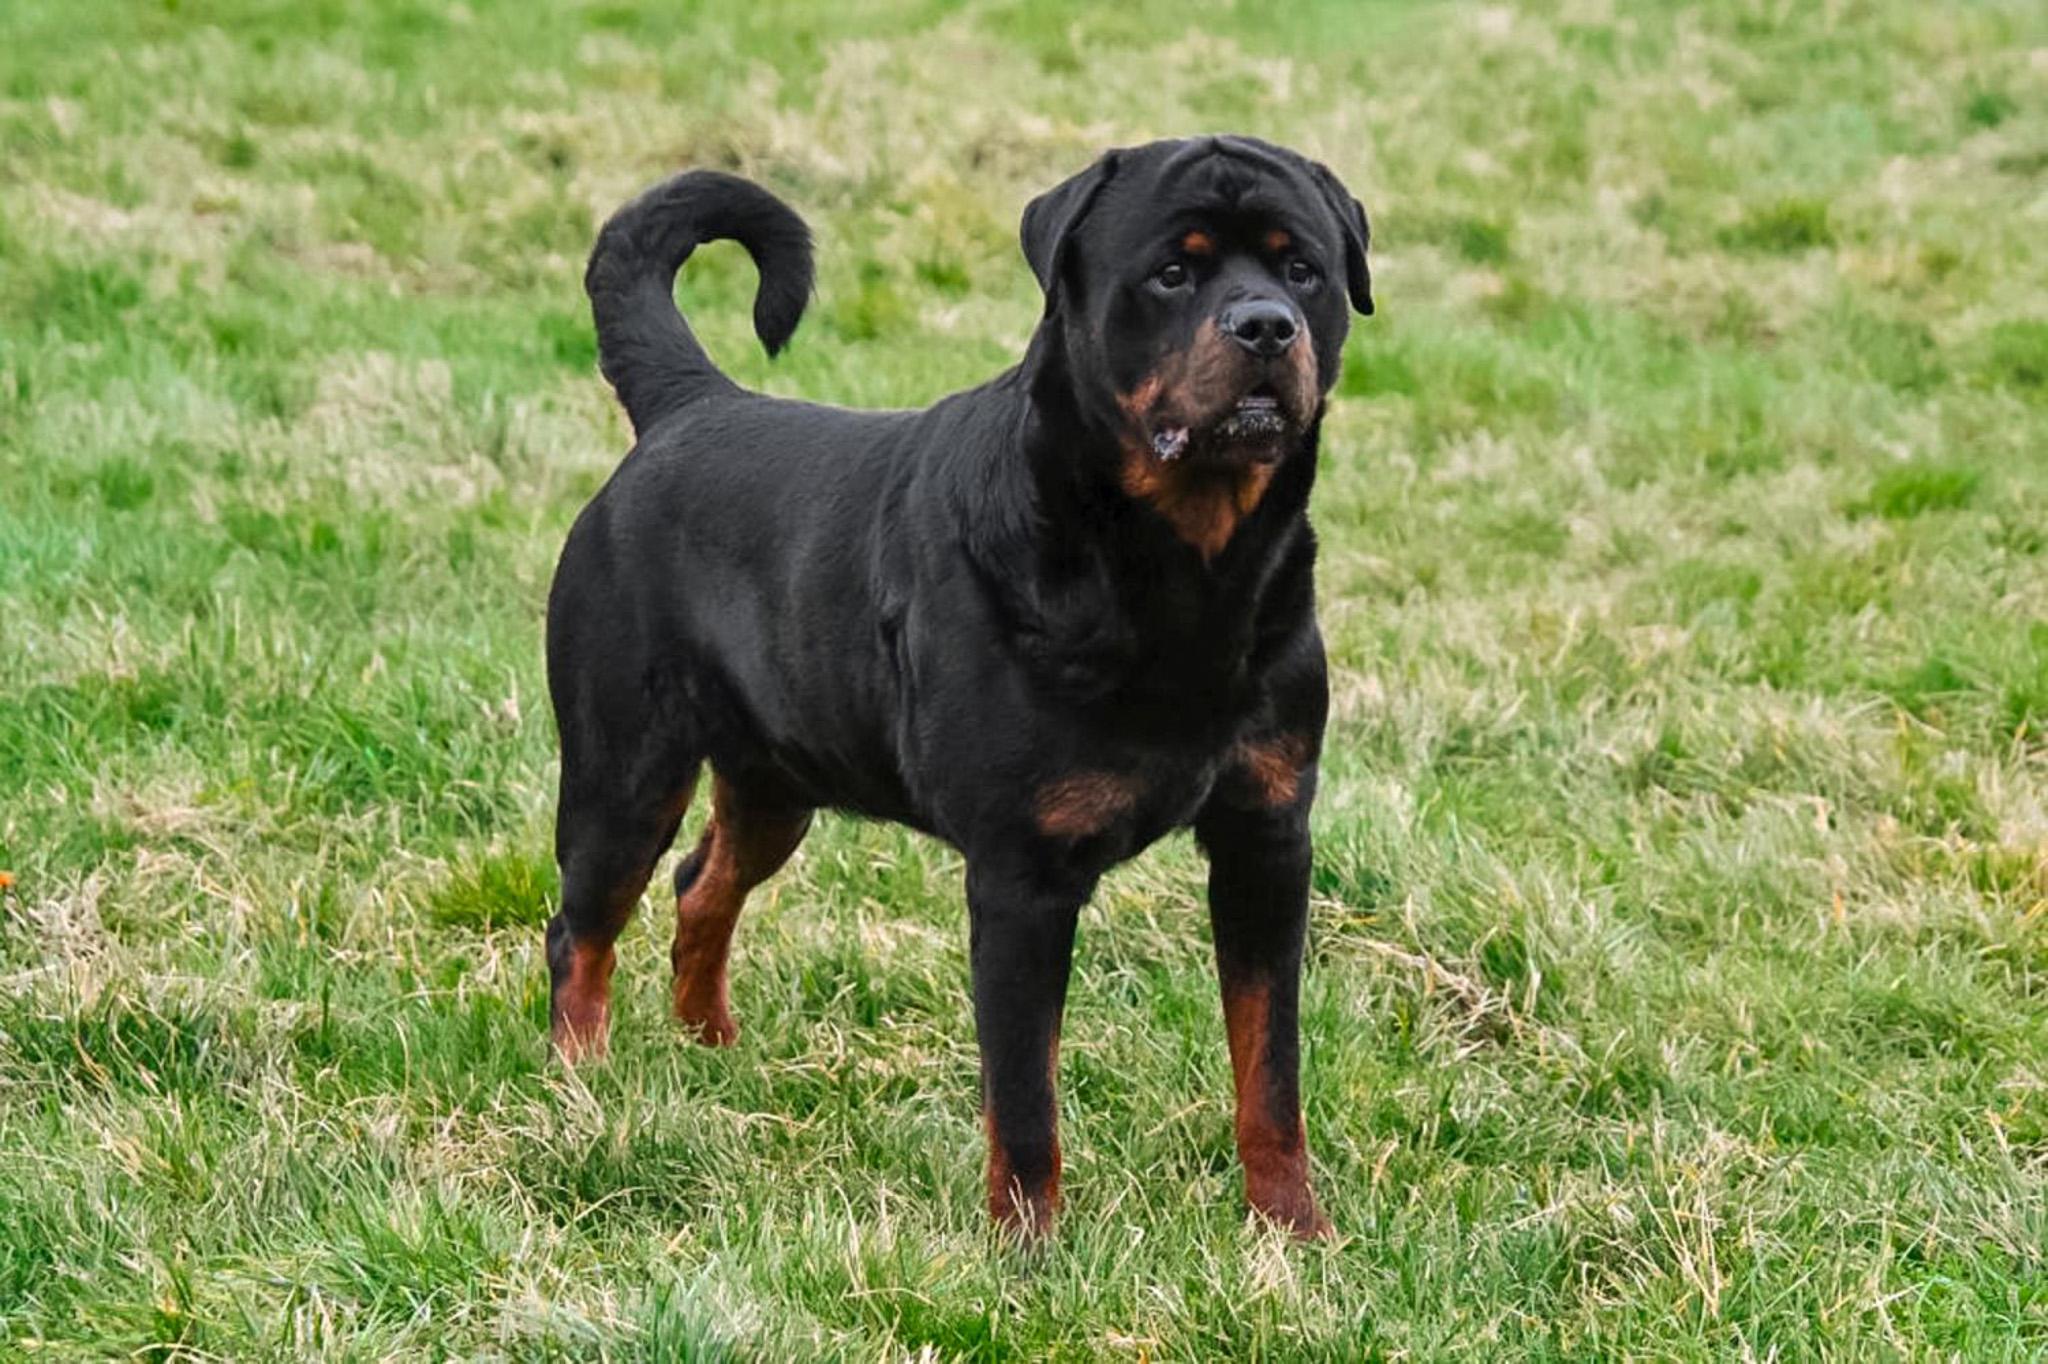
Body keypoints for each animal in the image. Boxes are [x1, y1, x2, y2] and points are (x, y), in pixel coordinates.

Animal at [544, 135, 1376, 1228]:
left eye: (1302, 271)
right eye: (1171, 273)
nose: (1265, 324)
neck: (1181, 569)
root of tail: (692, 404)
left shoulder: (1265, 838)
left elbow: (1268, 1063)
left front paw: (1292, 1224)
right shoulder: (1021, 873)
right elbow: (1024, 1094)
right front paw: (1028, 1241)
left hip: (777, 777)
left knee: (700, 886)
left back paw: (709, 1048)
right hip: (624, 769)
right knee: (580, 929)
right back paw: (577, 1084)